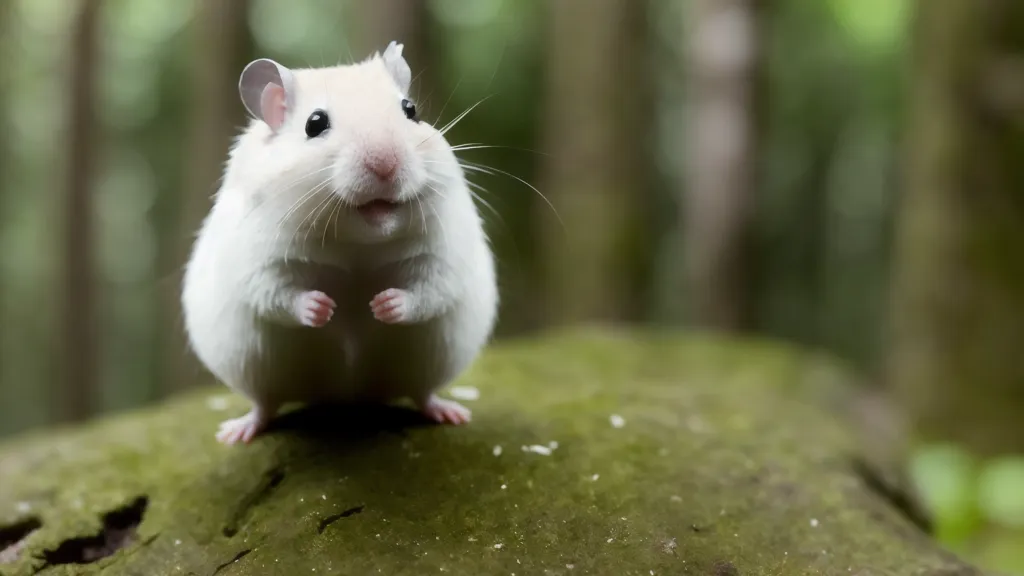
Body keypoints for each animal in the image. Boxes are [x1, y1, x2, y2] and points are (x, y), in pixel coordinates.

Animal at [180, 41, 499, 444]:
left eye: (410, 110)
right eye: (314, 124)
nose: (386, 164)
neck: (357, 240)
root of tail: (347, 398)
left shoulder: (443, 255)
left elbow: (428, 291)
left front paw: (382, 305)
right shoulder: (257, 261)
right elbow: (277, 294)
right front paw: (323, 308)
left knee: (423, 393)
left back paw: (451, 413)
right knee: (264, 404)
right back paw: (237, 432)